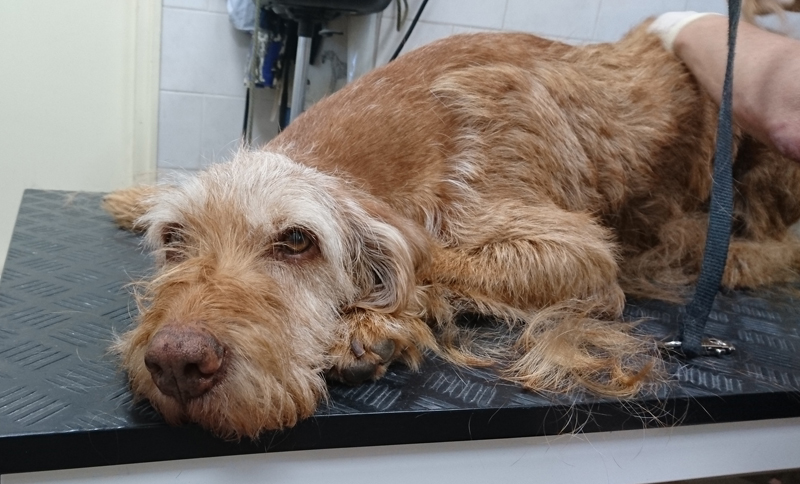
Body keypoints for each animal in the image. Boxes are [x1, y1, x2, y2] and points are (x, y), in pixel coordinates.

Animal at [103, 19, 800, 439]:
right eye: (173, 241)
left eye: (297, 241)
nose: (177, 362)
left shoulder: (581, 253)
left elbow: (436, 259)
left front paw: (374, 324)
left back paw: (724, 252)